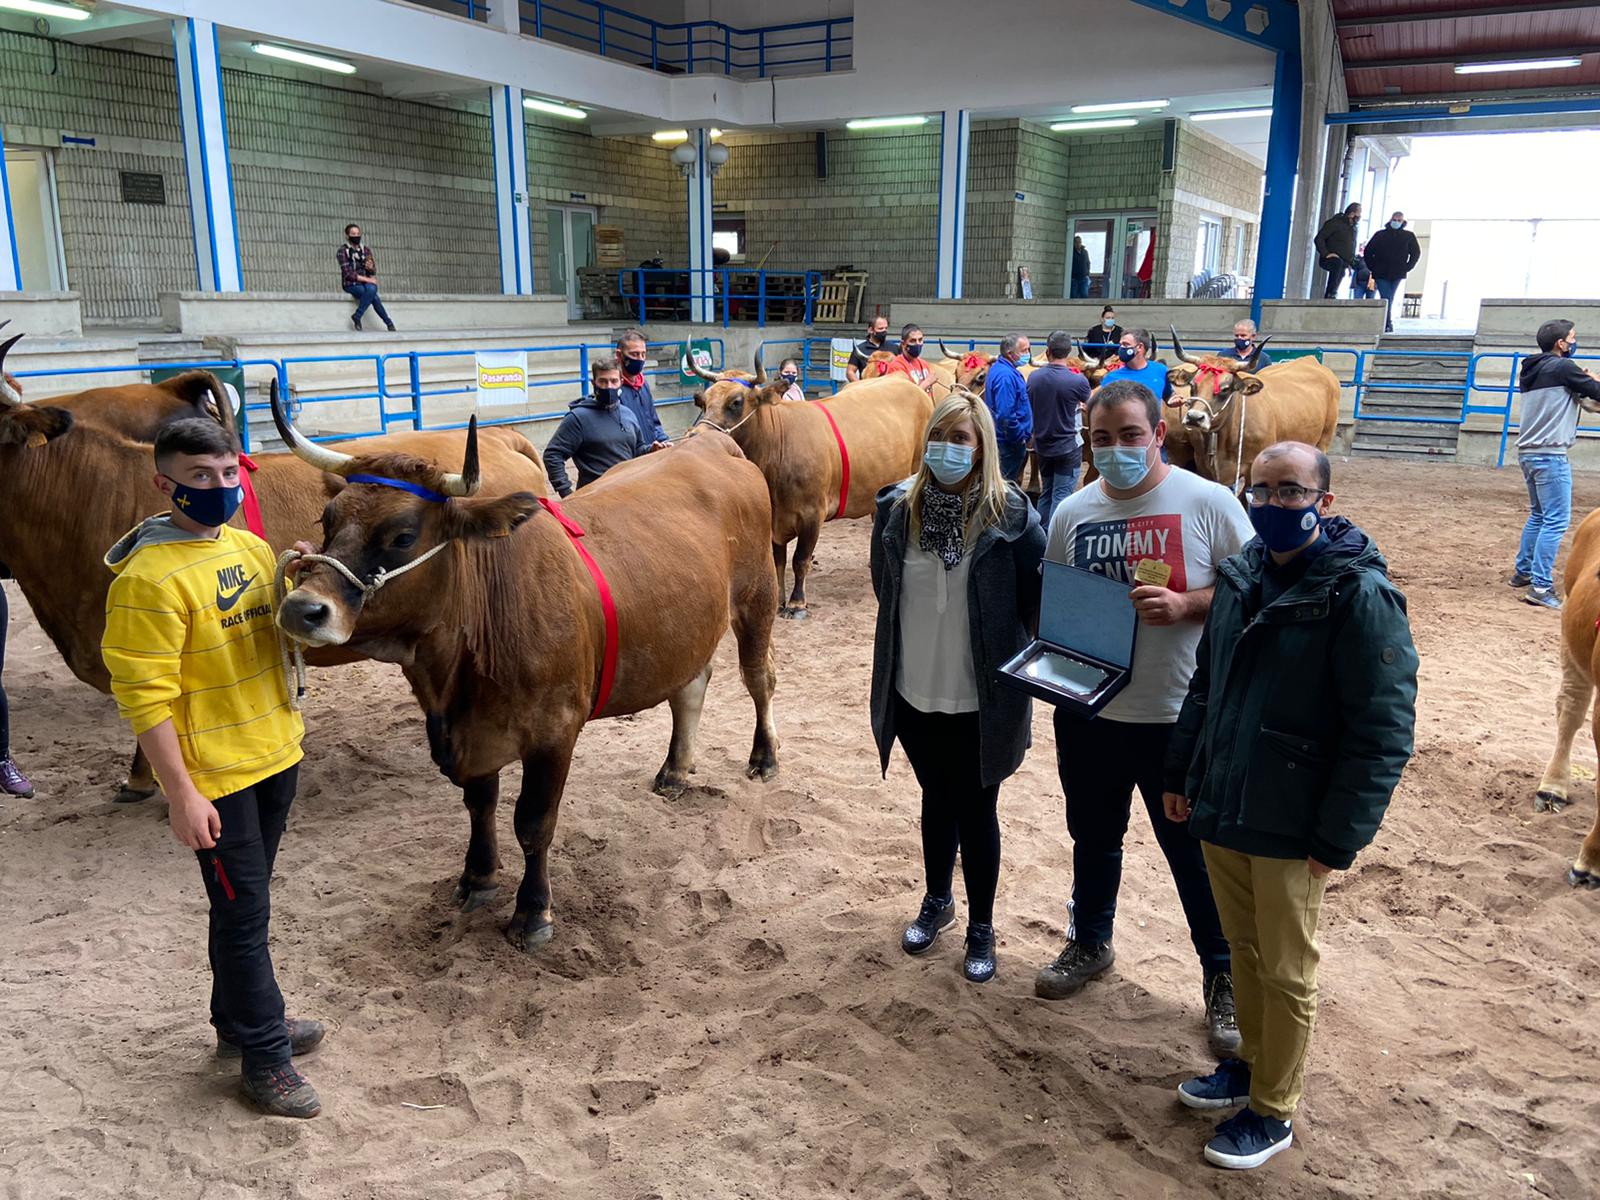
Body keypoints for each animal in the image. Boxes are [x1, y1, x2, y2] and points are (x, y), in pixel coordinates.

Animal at [273, 392, 780, 947]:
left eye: (403, 536)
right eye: (327, 521)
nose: (301, 607)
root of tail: (710, 445)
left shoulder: (554, 731)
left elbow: (534, 823)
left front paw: (533, 911)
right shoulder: (471, 734)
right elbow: (480, 805)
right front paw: (477, 877)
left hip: (758, 597)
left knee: (759, 678)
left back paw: (764, 757)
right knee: (690, 686)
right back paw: (674, 770)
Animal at [694, 356, 934, 620]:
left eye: (736, 402)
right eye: (703, 401)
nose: (695, 435)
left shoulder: (812, 515)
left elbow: (800, 560)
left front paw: (797, 603)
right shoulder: (774, 519)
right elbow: (779, 560)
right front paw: (779, 600)